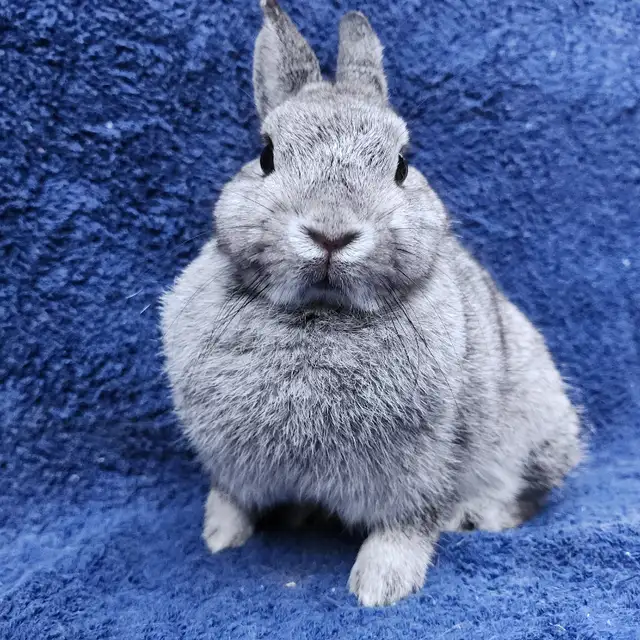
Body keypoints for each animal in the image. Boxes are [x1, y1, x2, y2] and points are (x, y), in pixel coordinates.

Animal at [161, 0, 583, 607]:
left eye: (401, 164)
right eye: (266, 156)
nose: (331, 233)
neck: (321, 313)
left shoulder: (421, 470)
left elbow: (405, 526)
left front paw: (379, 587)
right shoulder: (227, 458)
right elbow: (232, 496)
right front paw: (219, 538)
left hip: (534, 430)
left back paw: (472, 516)